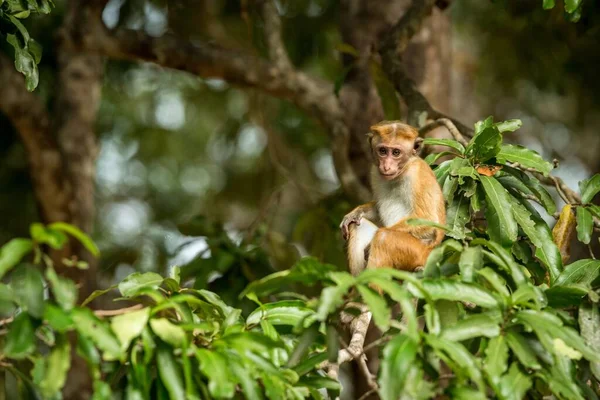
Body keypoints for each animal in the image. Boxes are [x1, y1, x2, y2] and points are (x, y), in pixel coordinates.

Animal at [338, 120, 446, 276]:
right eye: (382, 151)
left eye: (396, 152)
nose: (386, 166)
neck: (403, 170)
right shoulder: (375, 172)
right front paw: (356, 213)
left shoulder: (417, 174)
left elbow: (427, 219)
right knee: (359, 225)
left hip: (418, 253)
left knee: (384, 237)